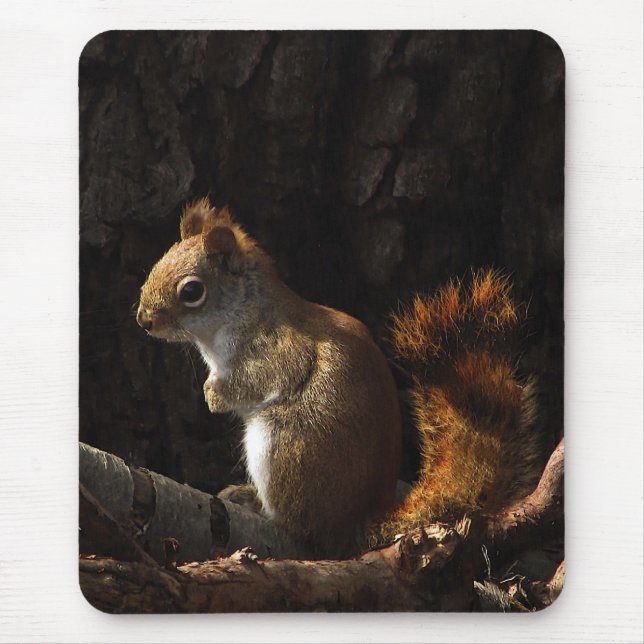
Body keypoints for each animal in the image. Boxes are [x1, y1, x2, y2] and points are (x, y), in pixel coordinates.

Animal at [137, 197, 541, 557]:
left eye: (192, 291)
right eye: (156, 264)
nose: (143, 320)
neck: (239, 312)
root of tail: (353, 526)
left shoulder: (278, 348)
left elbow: (263, 378)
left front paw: (214, 394)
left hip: (284, 448)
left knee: (301, 526)